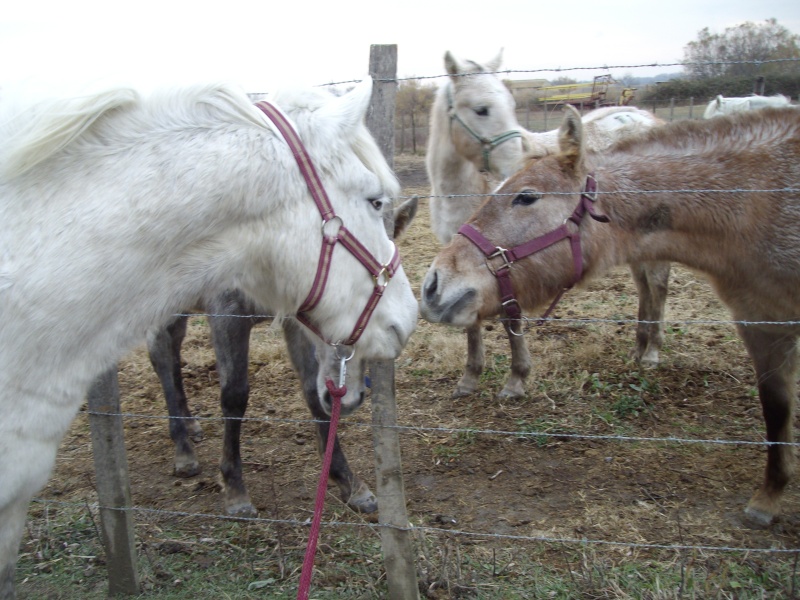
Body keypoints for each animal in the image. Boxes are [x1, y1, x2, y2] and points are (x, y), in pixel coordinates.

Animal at [1, 77, 418, 596]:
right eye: (374, 200)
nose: (405, 319)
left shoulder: (292, 318)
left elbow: (310, 395)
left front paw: (350, 483)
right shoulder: (227, 315)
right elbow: (234, 395)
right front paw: (234, 490)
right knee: (164, 358)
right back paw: (184, 450)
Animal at [418, 105, 800, 528]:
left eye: (526, 196)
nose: (432, 284)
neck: (760, 202)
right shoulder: (759, 320)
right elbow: (776, 406)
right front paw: (770, 495)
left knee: (656, 285)